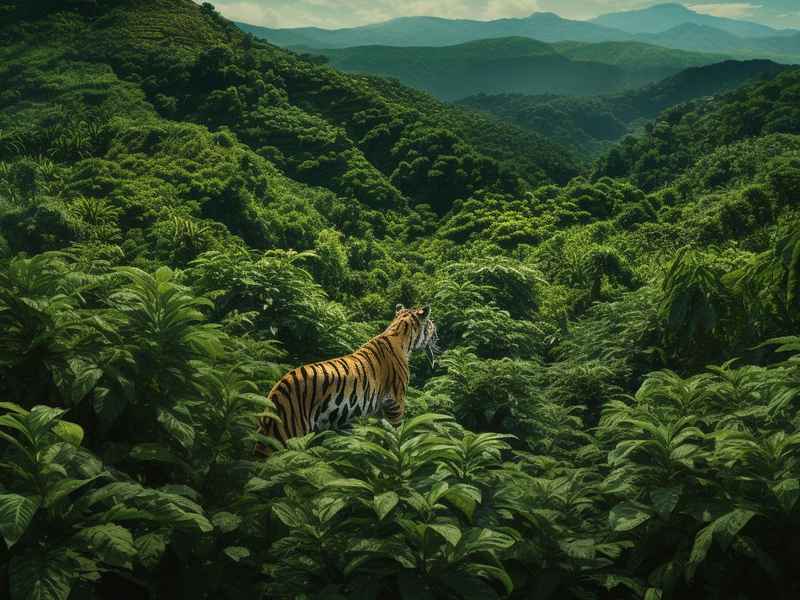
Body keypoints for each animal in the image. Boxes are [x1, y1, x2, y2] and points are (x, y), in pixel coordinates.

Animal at [255, 304, 439, 456]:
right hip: (291, 432)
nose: (437, 339)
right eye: (432, 327)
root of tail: (277, 391)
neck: (399, 333)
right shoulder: (395, 403)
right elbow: (396, 434)